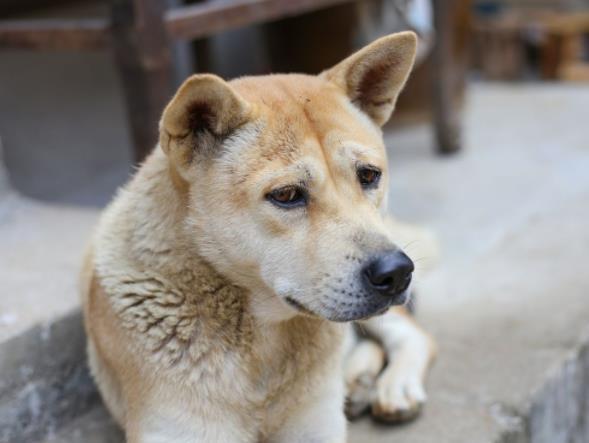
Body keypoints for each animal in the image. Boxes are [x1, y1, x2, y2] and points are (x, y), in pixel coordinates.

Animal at [79, 32, 436, 443]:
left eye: (369, 175)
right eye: (287, 195)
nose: (397, 272)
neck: (260, 339)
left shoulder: (316, 429)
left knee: (413, 335)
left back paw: (394, 385)